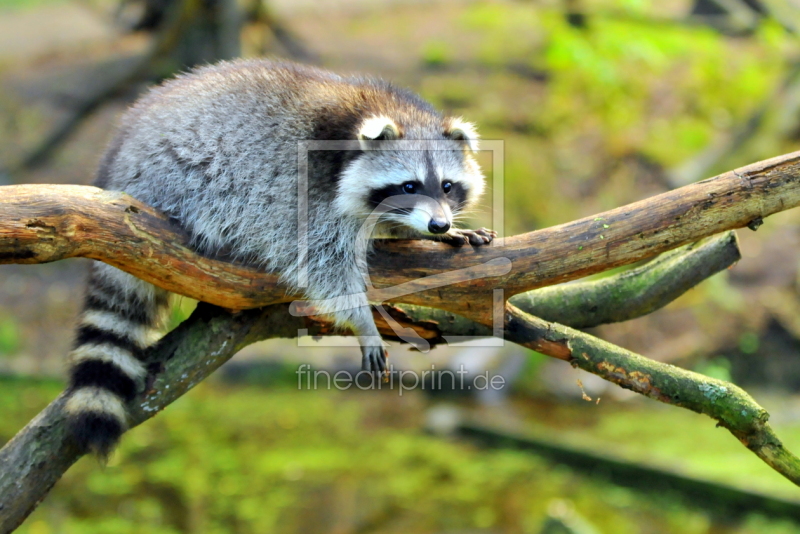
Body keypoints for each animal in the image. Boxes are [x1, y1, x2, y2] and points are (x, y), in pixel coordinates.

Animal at [67, 60, 494, 458]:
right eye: (408, 186)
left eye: (447, 186)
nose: (438, 224)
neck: (374, 112)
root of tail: (115, 165)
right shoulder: (305, 189)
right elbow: (322, 263)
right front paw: (363, 319)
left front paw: (438, 231)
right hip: (170, 173)